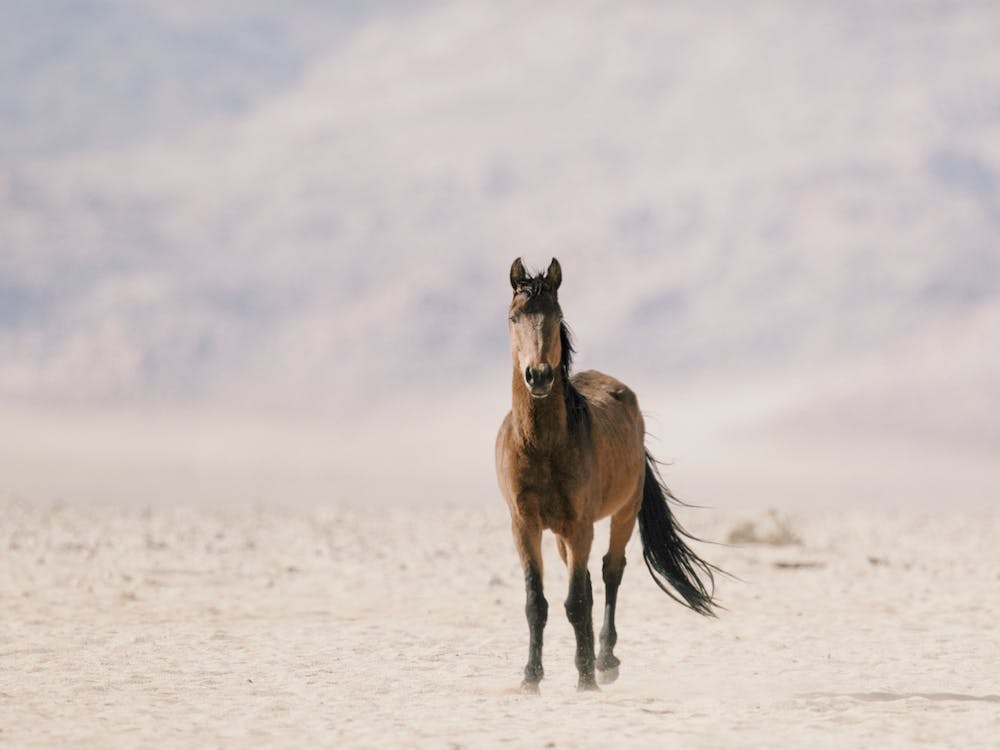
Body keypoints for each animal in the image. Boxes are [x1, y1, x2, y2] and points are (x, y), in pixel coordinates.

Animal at [494, 257, 719, 693]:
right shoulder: (524, 526)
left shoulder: (581, 524)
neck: (542, 445)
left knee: (610, 573)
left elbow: (577, 601)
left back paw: (604, 660)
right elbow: (537, 603)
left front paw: (585, 678)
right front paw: (531, 678)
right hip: (563, 535)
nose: (539, 376)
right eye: (514, 317)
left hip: (622, 514)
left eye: (556, 316)